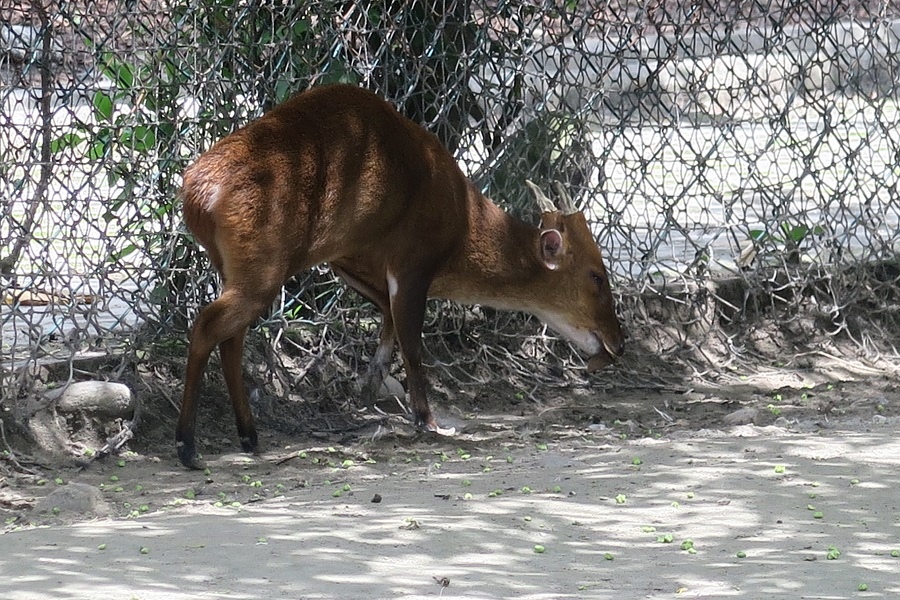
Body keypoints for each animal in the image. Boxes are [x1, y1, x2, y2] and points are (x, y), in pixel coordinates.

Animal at [177, 83, 624, 468]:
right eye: (597, 276)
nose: (617, 343)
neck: (461, 222)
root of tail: (197, 193)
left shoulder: (350, 257)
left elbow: (388, 320)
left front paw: (370, 384)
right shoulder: (414, 259)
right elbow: (413, 343)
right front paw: (427, 419)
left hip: (237, 265)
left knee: (231, 337)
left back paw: (248, 436)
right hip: (263, 263)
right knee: (208, 324)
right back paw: (188, 446)